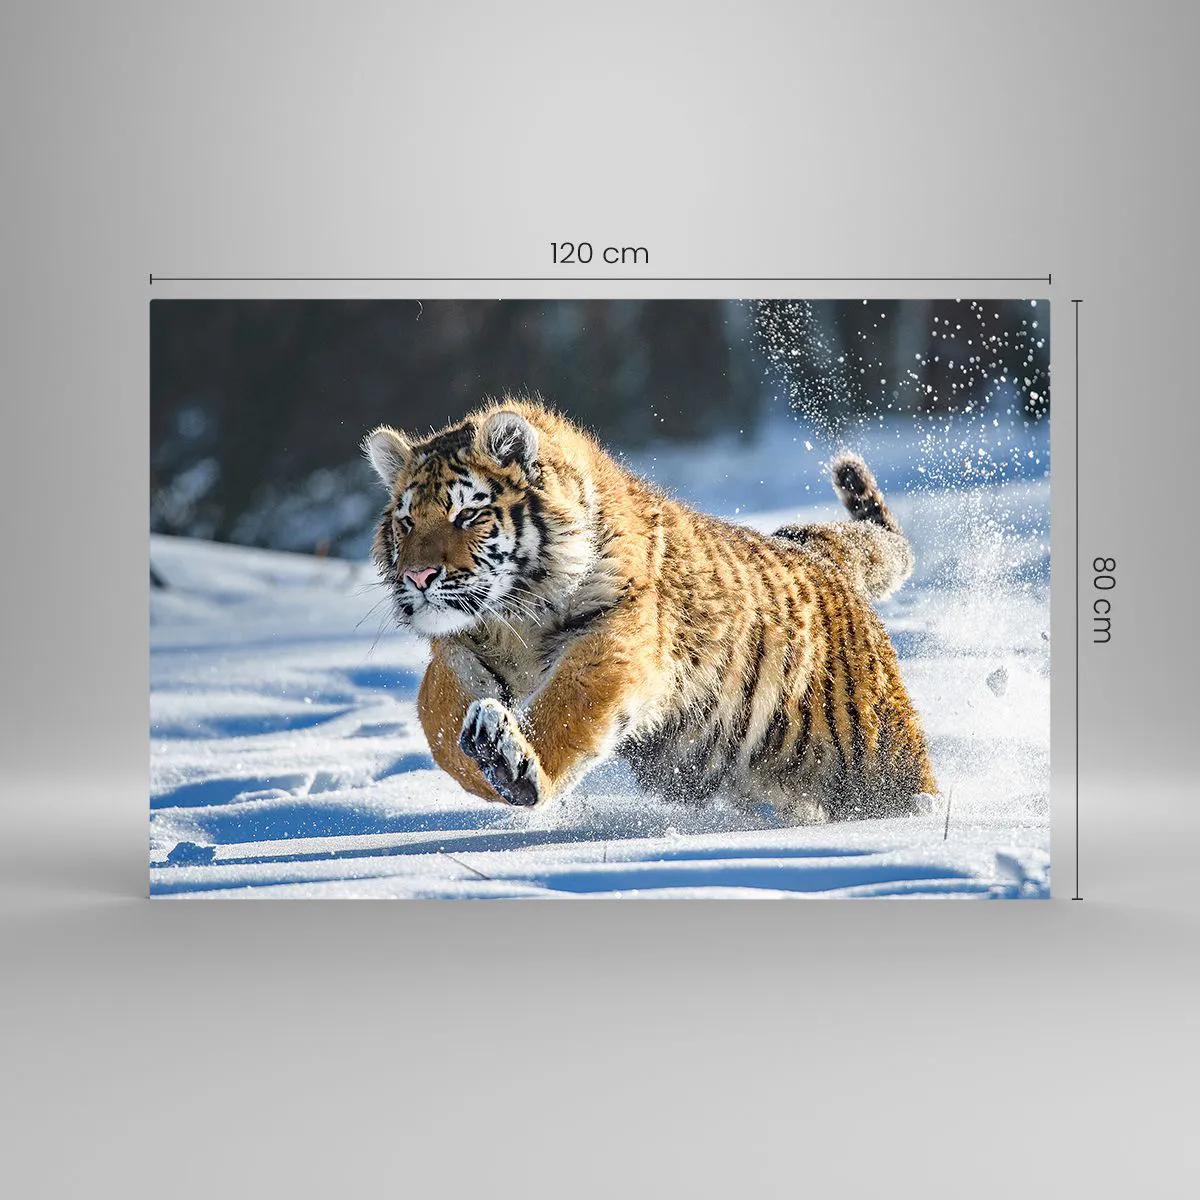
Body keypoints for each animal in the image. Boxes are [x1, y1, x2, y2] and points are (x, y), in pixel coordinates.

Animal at [364, 397, 936, 824]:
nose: (417, 577)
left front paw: (514, 766)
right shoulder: (461, 645)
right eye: (407, 522)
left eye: (468, 514)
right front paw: (480, 755)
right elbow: (438, 714)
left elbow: (565, 708)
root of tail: (818, 552)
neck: (516, 615)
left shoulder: (614, 638)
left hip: (874, 750)